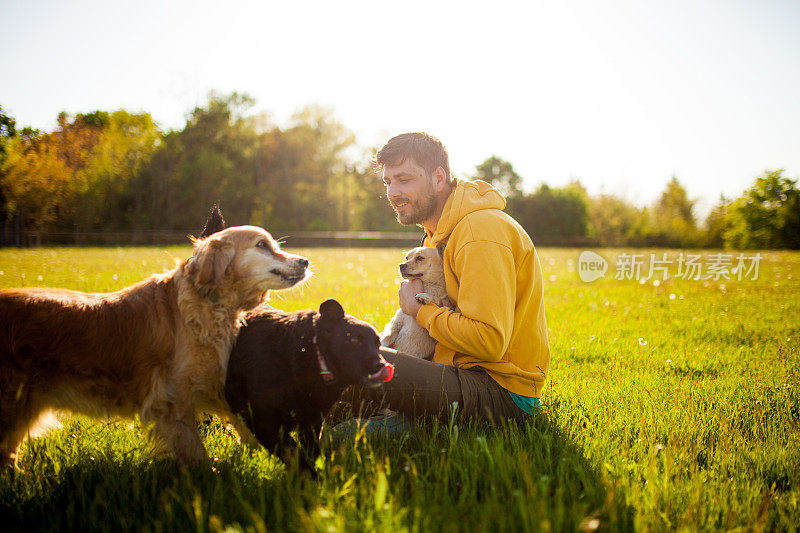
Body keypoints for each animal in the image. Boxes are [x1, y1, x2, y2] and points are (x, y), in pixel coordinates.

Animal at [0, 222, 308, 464]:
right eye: (262, 245)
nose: (305, 261)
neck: (204, 303)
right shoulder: (173, 400)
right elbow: (198, 455)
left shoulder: (211, 386)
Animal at [225, 300, 394, 470]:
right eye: (355, 340)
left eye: (378, 344)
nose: (381, 366)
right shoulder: (263, 421)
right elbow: (296, 456)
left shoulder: (312, 422)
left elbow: (311, 453)